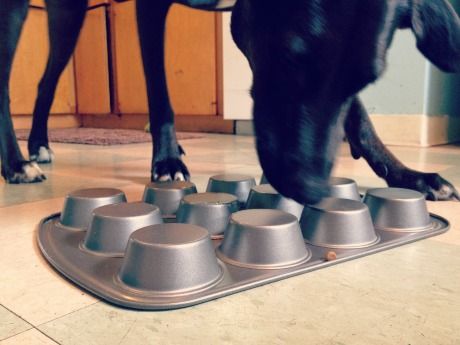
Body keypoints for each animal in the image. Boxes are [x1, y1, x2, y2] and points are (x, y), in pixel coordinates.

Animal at [0, 0, 458, 204]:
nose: (311, 190)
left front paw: (408, 175)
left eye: (365, 79)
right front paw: (167, 162)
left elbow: (359, 118)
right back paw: (18, 162)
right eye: (290, 57)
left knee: (44, 84)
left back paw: (38, 145)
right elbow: (159, 94)